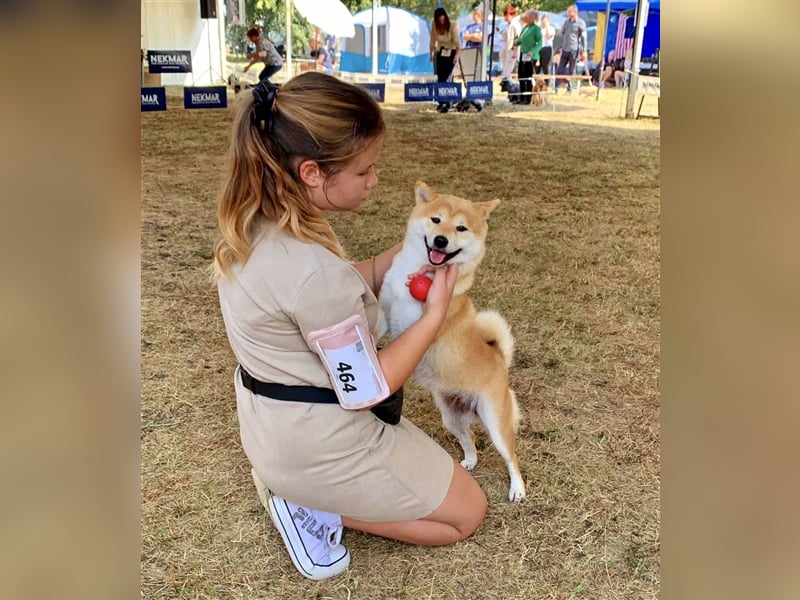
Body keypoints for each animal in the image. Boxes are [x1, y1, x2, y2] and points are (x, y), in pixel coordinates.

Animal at [380, 180, 524, 500]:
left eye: (461, 228)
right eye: (436, 220)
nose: (441, 240)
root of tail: (499, 357)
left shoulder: (414, 327)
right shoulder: (384, 308)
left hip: (495, 422)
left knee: (511, 458)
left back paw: (517, 488)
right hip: (452, 417)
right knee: (469, 440)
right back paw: (469, 461)